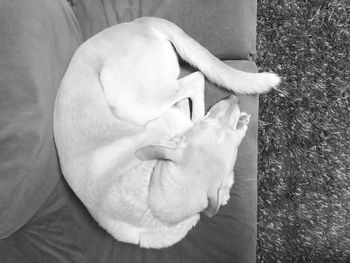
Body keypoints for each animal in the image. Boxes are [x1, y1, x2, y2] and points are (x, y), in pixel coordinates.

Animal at [53, 17, 280, 249]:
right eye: (207, 127)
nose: (233, 99)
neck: (153, 199)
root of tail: (138, 23)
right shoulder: (173, 123)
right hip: (135, 104)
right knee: (195, 80)